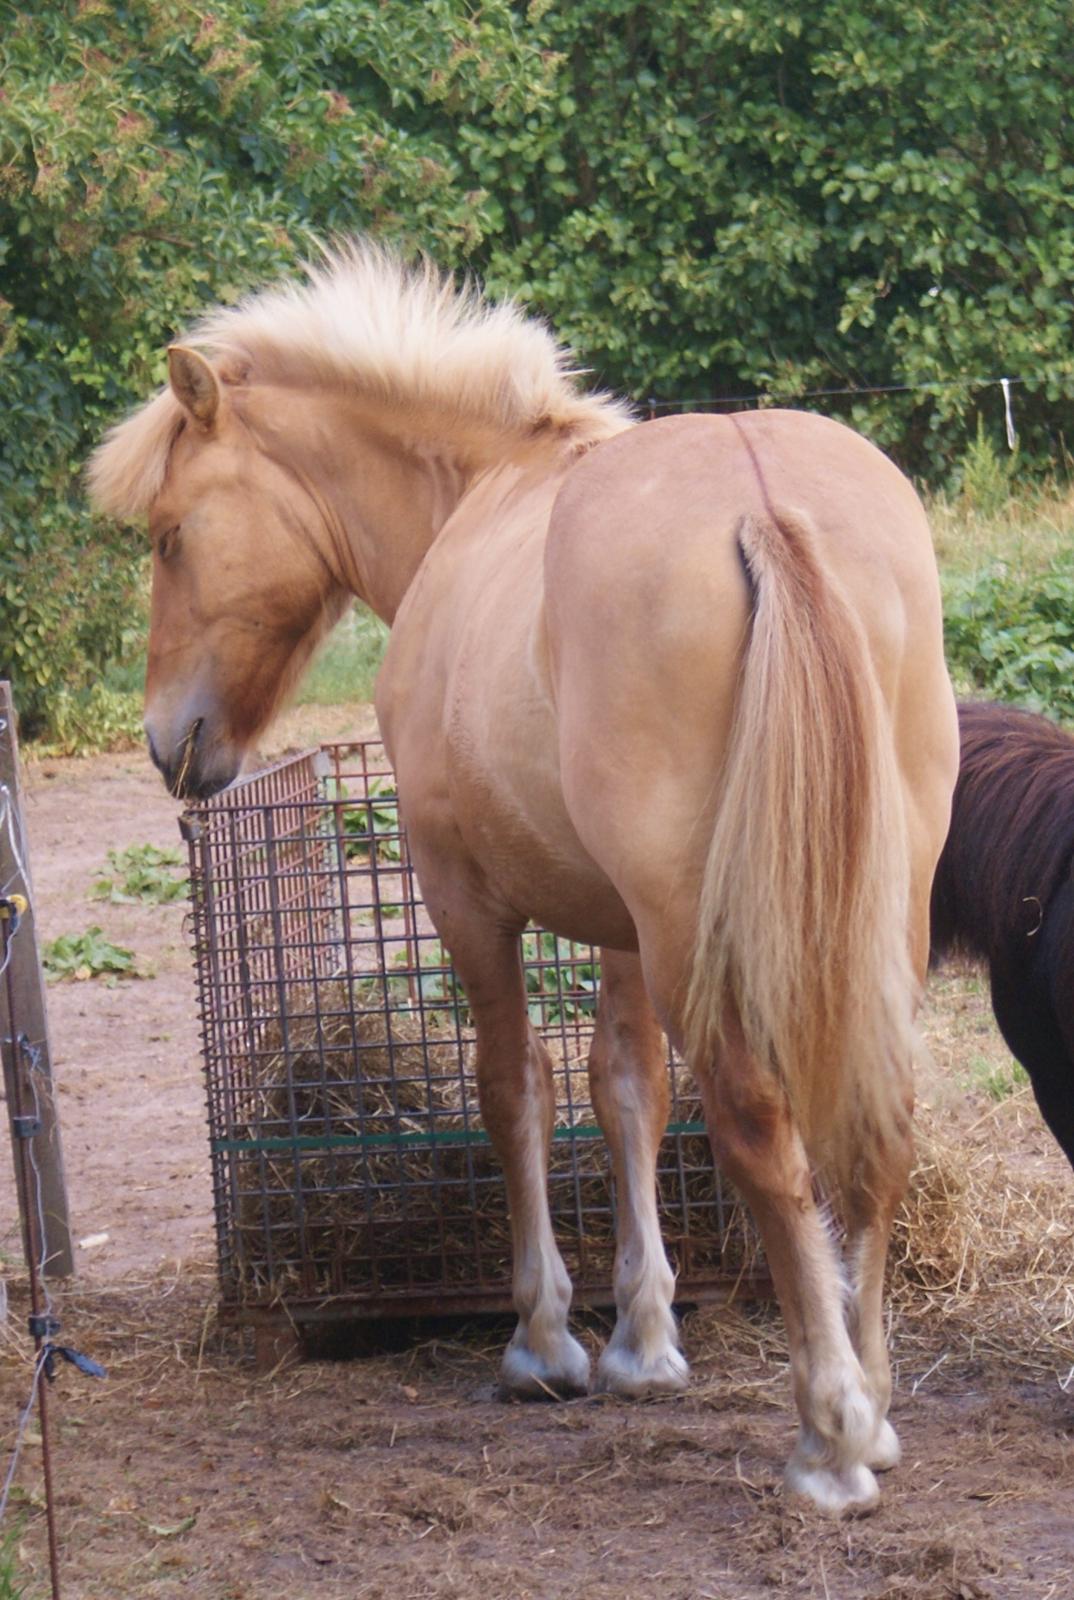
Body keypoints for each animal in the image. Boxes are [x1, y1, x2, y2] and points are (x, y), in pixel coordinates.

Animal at [92, 240, 960, 1510]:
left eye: (169, 535)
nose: (168, 742)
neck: (482, 497)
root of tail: (764, 502)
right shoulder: (624, 930)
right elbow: (626, 1090)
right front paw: (644, 1340)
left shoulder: (467, 899)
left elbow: (516, 1092)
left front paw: (546, 1340)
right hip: (871, 910)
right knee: (878, 1116)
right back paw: (881, 1403)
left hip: (708, 931)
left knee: (762, 1130)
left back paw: (831, 1430)